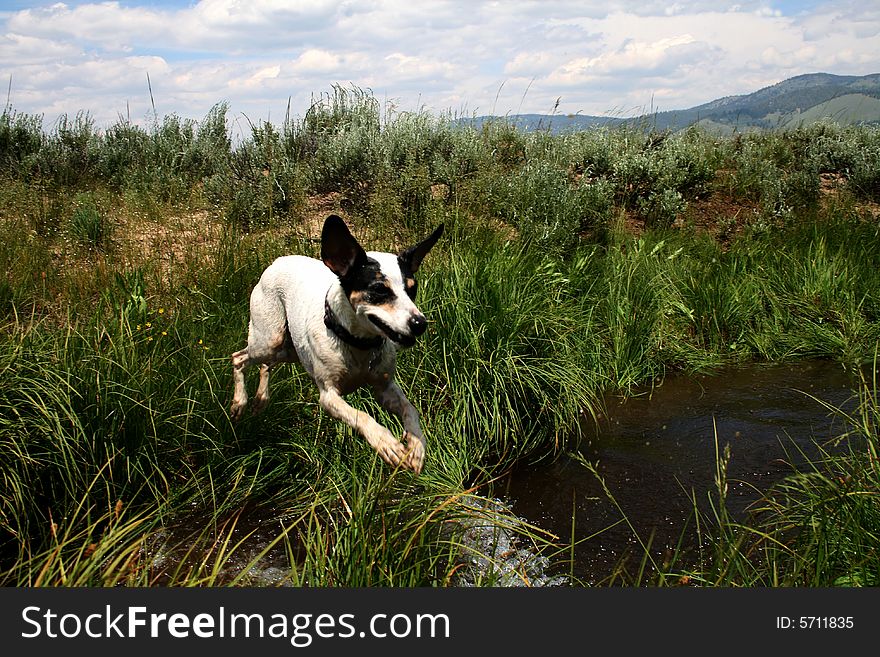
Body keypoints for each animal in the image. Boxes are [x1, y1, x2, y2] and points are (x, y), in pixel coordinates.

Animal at [230, 214, 444, 472]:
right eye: (379, 289)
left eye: (413, 289)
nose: (420, 323)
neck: (359, 345)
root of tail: (278, 261)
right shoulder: (329, 397)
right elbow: (362, 416)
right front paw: (386, 443)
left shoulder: (385, 389)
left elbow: (410, 410)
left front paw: (416, 445)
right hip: (269, 340)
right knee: (238, 358)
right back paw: (239, 402)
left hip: (288, 350)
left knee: (265, 365)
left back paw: (261, 398)